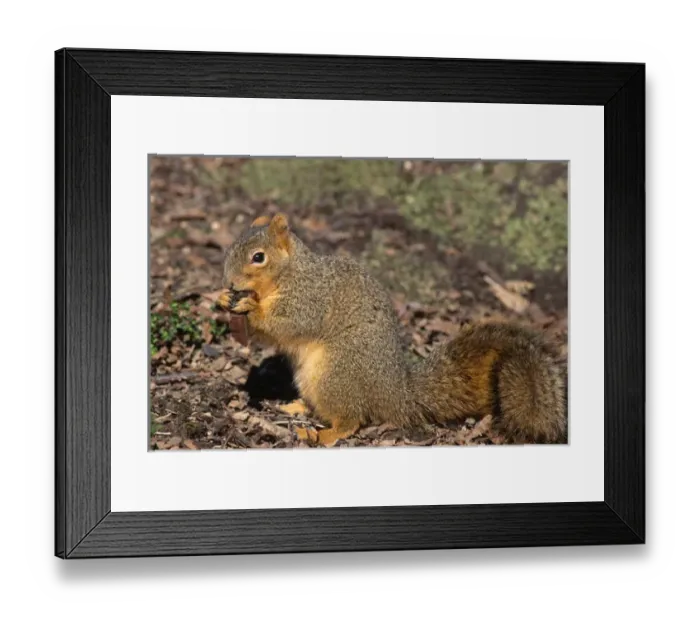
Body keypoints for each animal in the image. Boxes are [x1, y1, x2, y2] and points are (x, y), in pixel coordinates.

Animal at [217, 213, 567, 447]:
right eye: (231, 248)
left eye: (258, 257)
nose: (230, 283)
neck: (289, 273)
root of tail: (397, 395)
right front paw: (222, 299)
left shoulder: (311, 297)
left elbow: (291, 322)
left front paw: (251, 308)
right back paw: (297, 406)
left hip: (335, 372)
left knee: (352, 419)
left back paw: (323, 434)